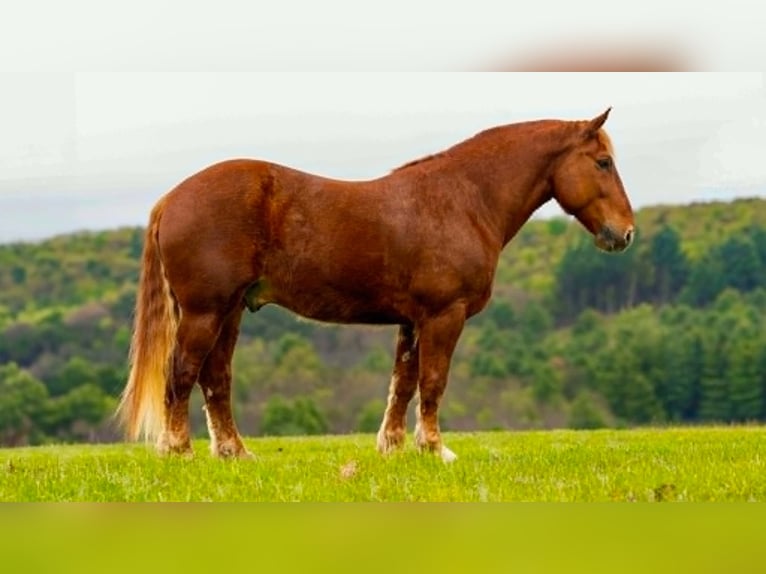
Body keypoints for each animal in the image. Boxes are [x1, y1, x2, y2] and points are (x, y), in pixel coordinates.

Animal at [116, 107, 635, 462]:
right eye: (602, 163)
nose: (625, 233)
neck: (463, 199)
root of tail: (172, 198)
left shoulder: (413, 321)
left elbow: (402, 383)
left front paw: (394, 446)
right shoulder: (443, 315)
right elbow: (432, 381)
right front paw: (435, 449)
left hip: (229, 312)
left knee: (215, 377)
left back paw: (234, 453)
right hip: (206, 311)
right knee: (182, 372)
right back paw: (178, 449)